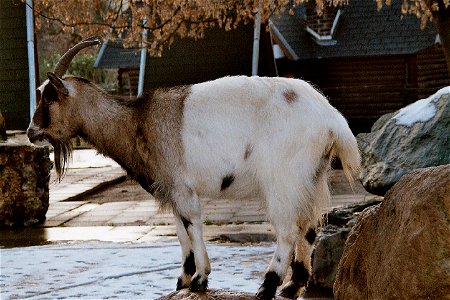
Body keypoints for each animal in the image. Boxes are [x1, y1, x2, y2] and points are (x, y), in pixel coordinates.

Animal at [27, 38, 358, 300]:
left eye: (50, 97)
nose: (31, 133)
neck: (138, 122)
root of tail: (332, 120)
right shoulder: (173, 190)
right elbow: (180, 231)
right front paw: (183, 280)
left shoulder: (182, 187)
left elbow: (193, 225)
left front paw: (200, 279)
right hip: (312, 178)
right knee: (309, 227)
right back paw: (292, 287)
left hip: (283, 180)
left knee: (288, 230)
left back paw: (267, 287)